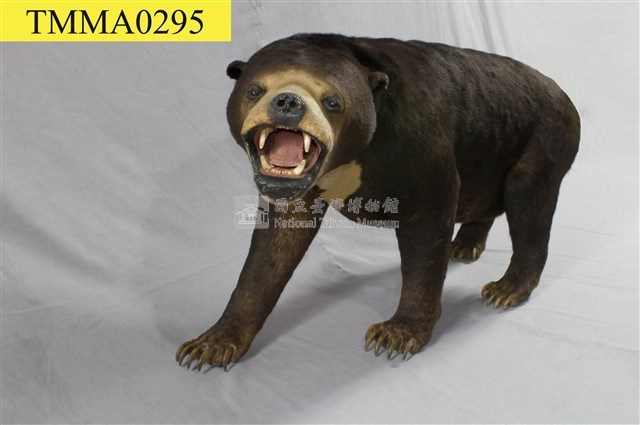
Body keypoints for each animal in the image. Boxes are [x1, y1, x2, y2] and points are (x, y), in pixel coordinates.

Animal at [176, 34, 580, 371]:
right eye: (254, 90)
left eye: (333, 101)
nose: (288, 102)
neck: (351, 156)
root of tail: (564, 93)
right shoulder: (290, 189)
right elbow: (271, 252)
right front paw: (208, 345)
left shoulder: (418, 143)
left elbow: (427, 228)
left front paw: (396, 334)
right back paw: (463, 246)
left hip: (543, 137)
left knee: (528, 200)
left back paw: (505, 290)